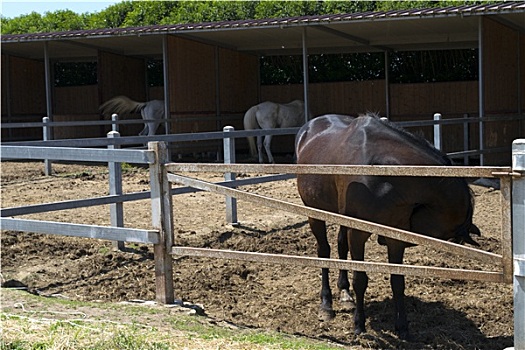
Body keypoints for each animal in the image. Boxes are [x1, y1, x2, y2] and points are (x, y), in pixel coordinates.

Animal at [294, 114, 478, 340]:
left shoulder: (394, 236)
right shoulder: (358, 233)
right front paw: (359, 324)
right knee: (324, 252)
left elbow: (397, 281)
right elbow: (360, 279)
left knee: (340, 246)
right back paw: (326, 304)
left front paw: (402, 327)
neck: (386, 173)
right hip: (314, 212)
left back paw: (344, 293)